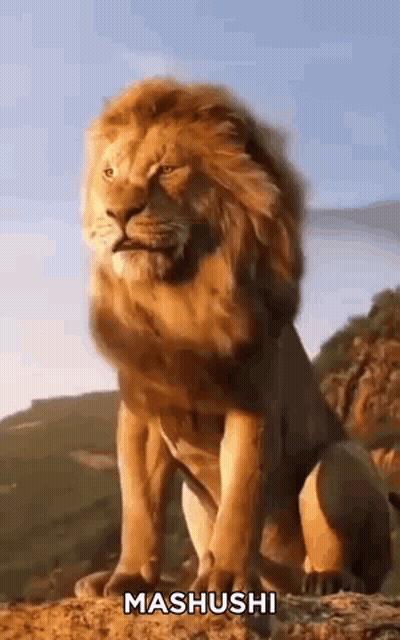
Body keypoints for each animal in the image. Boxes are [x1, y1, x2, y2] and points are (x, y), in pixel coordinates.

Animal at [75, 78, 395, 598]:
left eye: (167, 169)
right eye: (109, 172)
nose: (118, 211)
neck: (177, 300)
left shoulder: (251, 403)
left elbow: (242, 496)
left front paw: (223, 578)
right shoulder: (141, 413)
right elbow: (139, 507)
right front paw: (130, 577)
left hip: (344, 459)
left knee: (350, 563)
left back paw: (325, 579)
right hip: (195, 500)